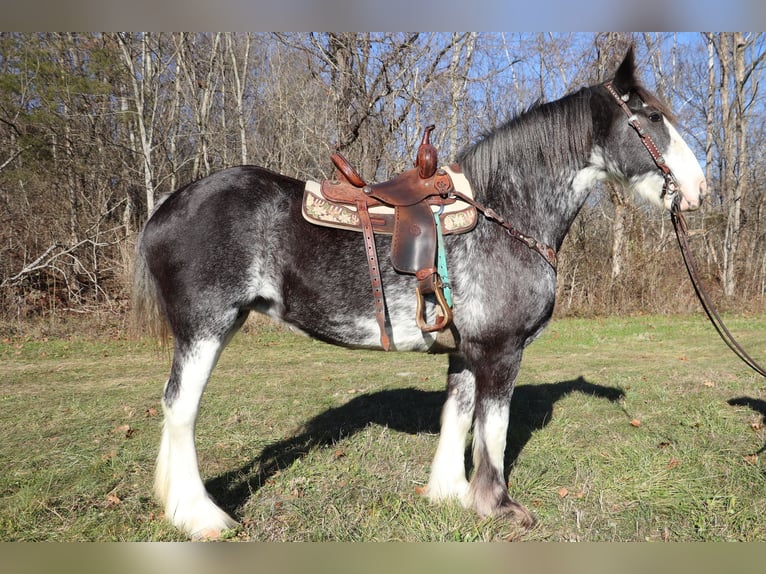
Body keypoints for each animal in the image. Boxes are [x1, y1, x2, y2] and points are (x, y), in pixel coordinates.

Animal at [134, 48, 708, 540]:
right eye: (651, 117)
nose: (699, 189)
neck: (504, 213)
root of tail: (167, 208)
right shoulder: (500, 352)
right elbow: (493, 431)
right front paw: (497, 506)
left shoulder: (465, 350)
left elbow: (457, 417)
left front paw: (450, 494)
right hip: (206, 327)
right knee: (180, 409)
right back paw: (201, 517)